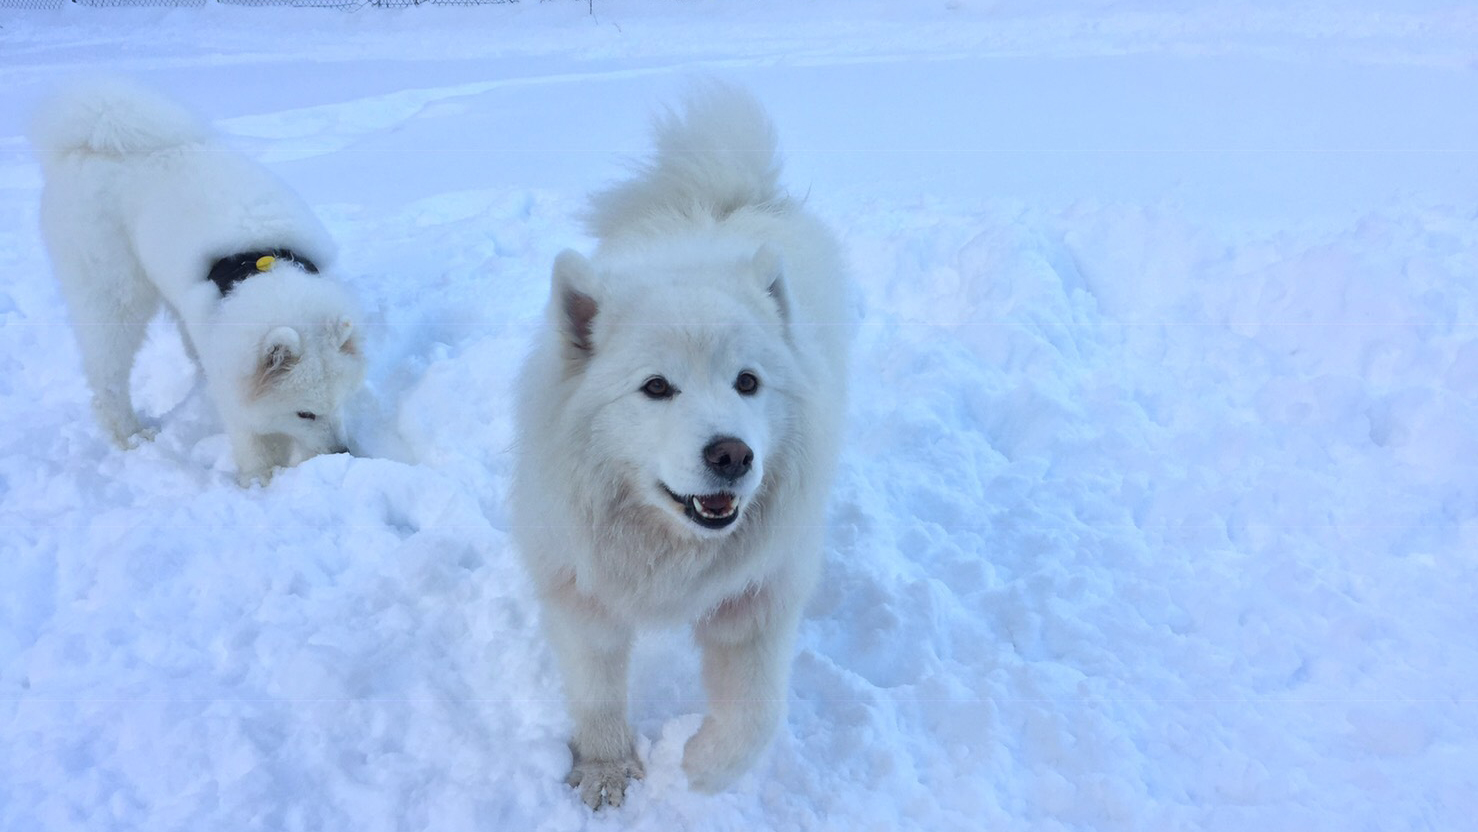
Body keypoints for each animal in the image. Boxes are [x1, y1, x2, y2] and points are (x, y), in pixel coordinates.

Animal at [30, 81, 365, 484]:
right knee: (107, 375)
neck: (265, 269)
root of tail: (86, 144)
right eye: (305, 413)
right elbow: (251, 434)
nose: (343, 452)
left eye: (342, 400)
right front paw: (261, 479)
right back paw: (131, 434)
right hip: (113, 291)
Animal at [511, 86, 851, 809]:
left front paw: (697, 768)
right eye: (656, 387)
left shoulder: (758, 603)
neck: (669, 551)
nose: (733, 455)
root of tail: (722, 199)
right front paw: (606, 772)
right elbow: (596, 694)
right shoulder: (581, 597)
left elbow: (756, 714)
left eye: (747, 382)